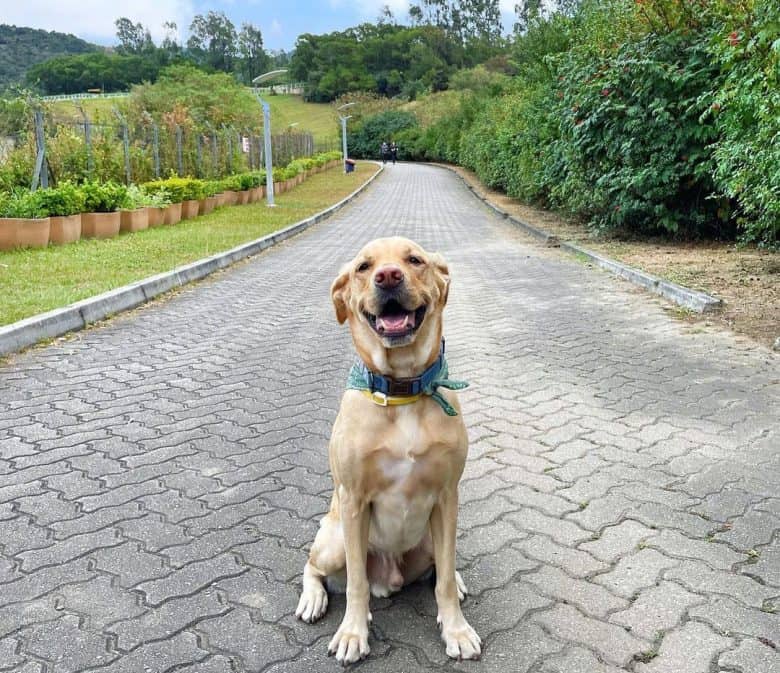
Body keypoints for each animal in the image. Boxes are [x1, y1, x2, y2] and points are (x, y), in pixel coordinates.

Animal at [296, 235, 478, 660]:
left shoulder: (447, 496)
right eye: (364, 267)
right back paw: (313, 598)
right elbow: (356, 584)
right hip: (335, 537)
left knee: (441, 566)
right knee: (315, 566)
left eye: (414, 260)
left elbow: (444, 580)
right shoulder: (353, 499)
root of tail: (389, 579)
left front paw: (456, 629)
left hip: (429, 538)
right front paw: (352, 633)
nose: (389, 276)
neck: (402, 391)